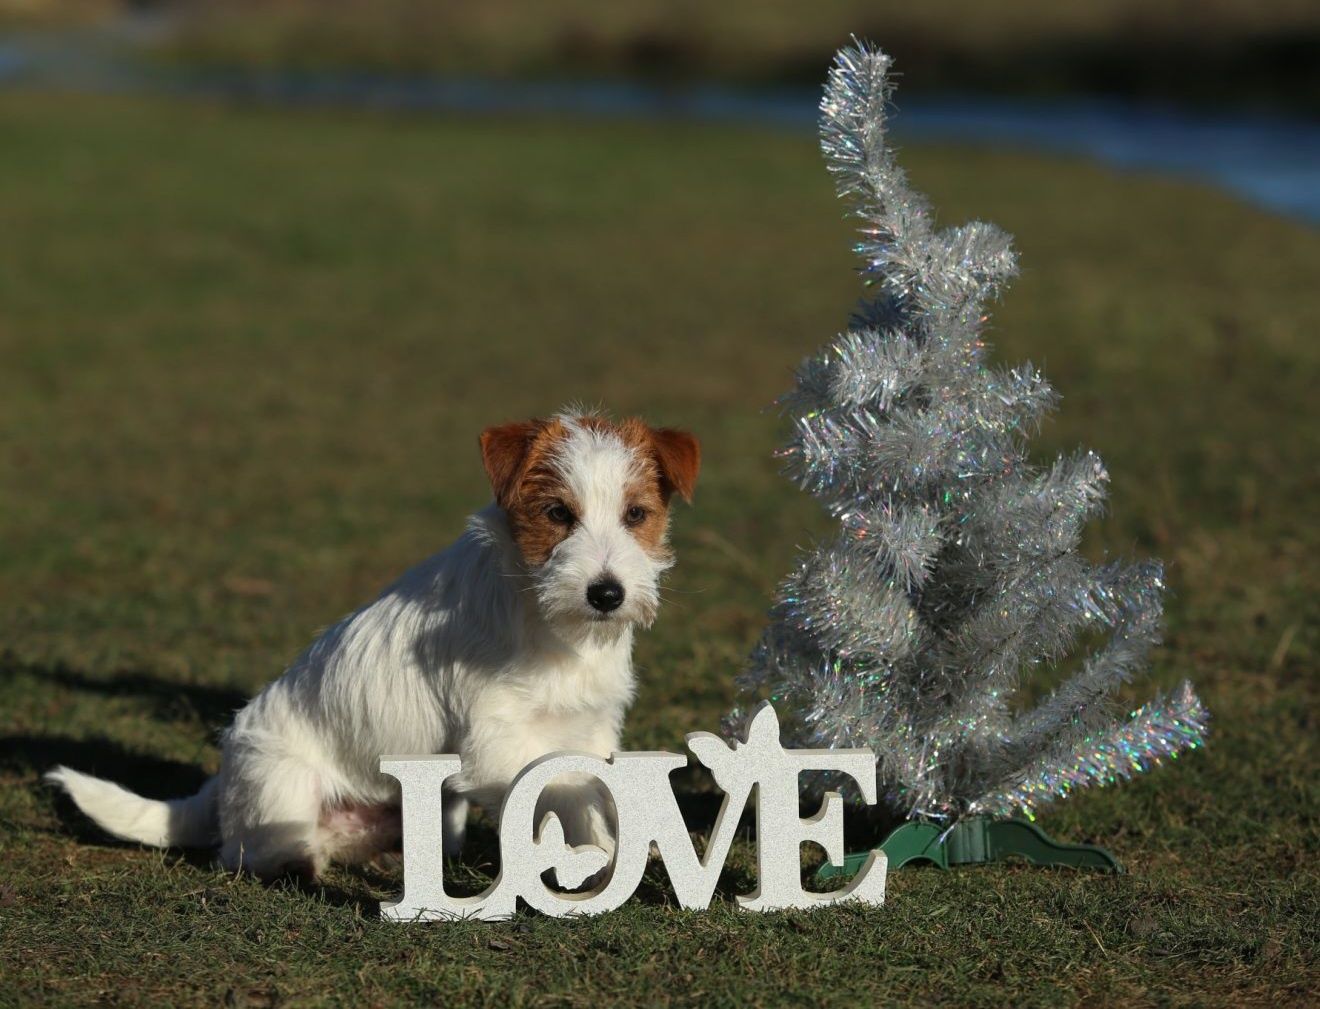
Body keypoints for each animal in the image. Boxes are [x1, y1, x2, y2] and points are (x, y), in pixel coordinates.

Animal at [45, 409, 702, 882]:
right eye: (558, 513)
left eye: (637, 514)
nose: (607, 594)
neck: (552, 625)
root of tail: (222, 783)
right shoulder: (494, 745)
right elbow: (567, 783)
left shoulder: (592, 726)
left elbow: (594, 788)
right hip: (282, 784)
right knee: (247, 852)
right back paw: (299, 862)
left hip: (434, 813)